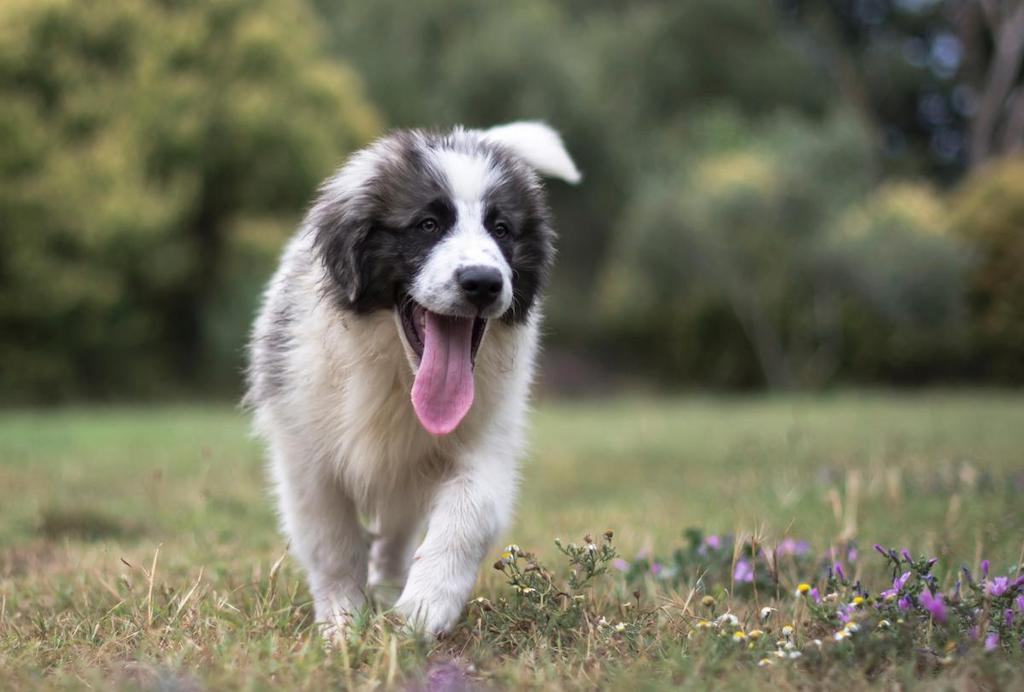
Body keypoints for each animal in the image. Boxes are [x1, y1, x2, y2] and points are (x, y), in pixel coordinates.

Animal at [240, 120, 577, 638]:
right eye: (428, 225)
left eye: (501, 229)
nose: (483, 282)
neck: (398, 373)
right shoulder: (305, 455)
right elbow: (332, 540)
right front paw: (343, 622)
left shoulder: (487, 439)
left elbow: (467, 515)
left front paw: (423, 607)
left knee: (397, 533)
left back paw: (390, 587)